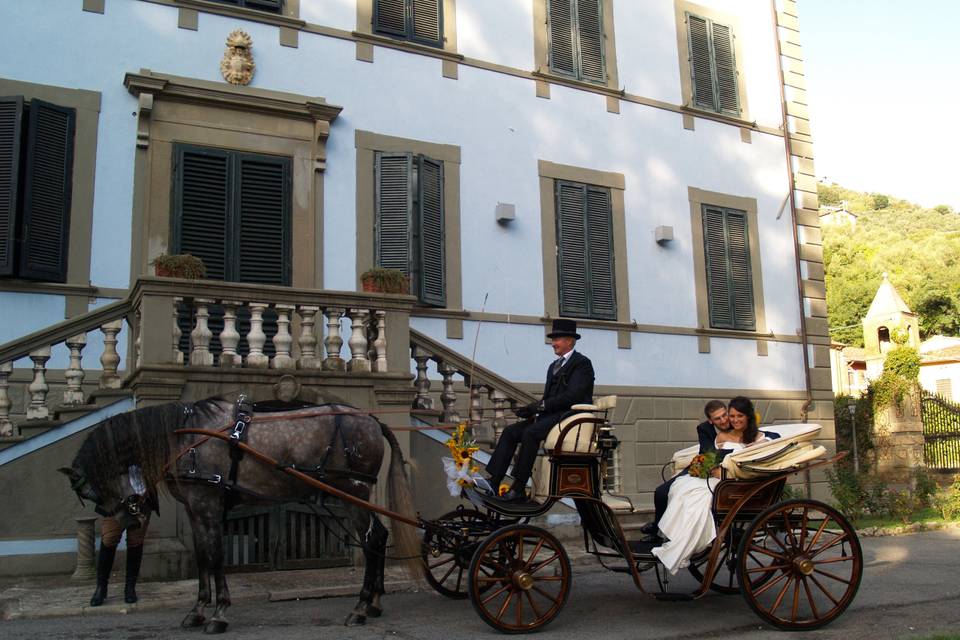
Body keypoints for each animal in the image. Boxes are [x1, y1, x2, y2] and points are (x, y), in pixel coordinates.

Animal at [60, 398, 420, 632]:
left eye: (88, 491)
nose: (127, 520)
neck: (190, 437)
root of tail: (372, 419)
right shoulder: (195, 510)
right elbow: (203, 559)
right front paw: (198, 611)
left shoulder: (208, 505)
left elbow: (217, 557)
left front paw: (218, 613)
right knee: (379, 536)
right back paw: (374, 602)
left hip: (353, 492)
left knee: (371, 540)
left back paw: (360, 607)